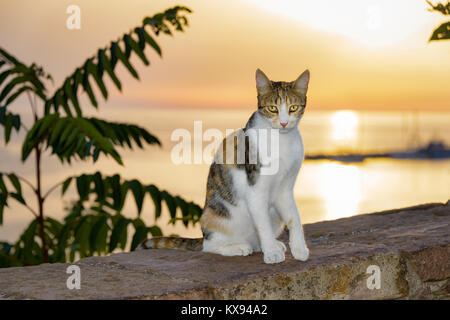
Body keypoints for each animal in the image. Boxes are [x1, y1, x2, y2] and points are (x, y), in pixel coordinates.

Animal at [137, 69, 312, 264]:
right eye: (272, 108)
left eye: (293, 108)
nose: (283, 123)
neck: (282, 140)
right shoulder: (256, 189)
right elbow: (263, 225)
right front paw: (272, 253)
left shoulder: (285, 189)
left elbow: (294, 218)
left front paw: (299, 249)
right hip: (219, 218)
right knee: (210, 246)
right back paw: (240, 247)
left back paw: (271, 244)